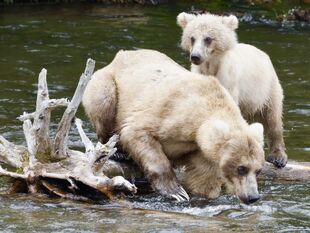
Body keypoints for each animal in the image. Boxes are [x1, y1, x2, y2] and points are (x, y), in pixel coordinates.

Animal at [81, 49, 264, 204]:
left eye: (258, 170)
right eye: (241, 168)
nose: (253, 196)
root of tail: (120, 55)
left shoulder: (201, 150)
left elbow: (203, 178)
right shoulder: (171, 113)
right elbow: (137, 132)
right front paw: (176, 192)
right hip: (108, 84)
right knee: (104, 103)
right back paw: (118, 151)